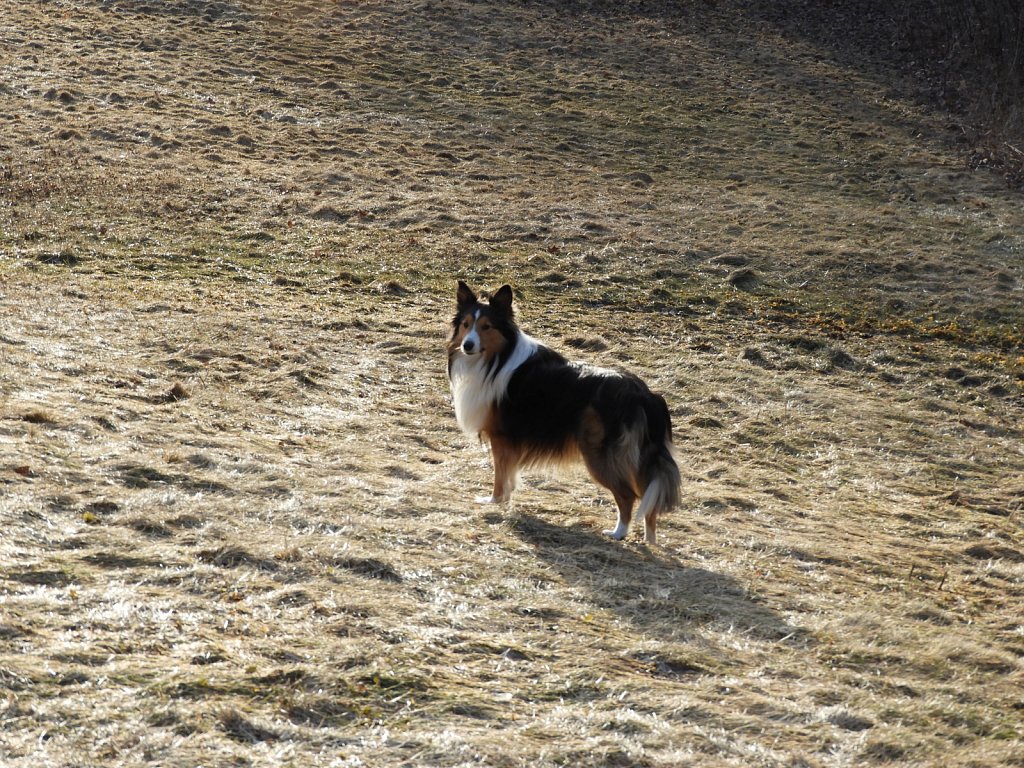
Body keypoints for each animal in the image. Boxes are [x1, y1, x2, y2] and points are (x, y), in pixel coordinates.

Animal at [446, 280, 679, 544]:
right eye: (466, 324)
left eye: (486, 326)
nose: (467, 345)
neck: (496, 359)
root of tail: (644, 394)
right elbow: (509, 475)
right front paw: (505, 499)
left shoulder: (501, 437)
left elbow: (500, 474)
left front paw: (494, 501)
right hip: (637, 457)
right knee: (649, 498)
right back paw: (649, 539)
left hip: (599, 454)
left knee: (628, 495)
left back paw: (618, 532)